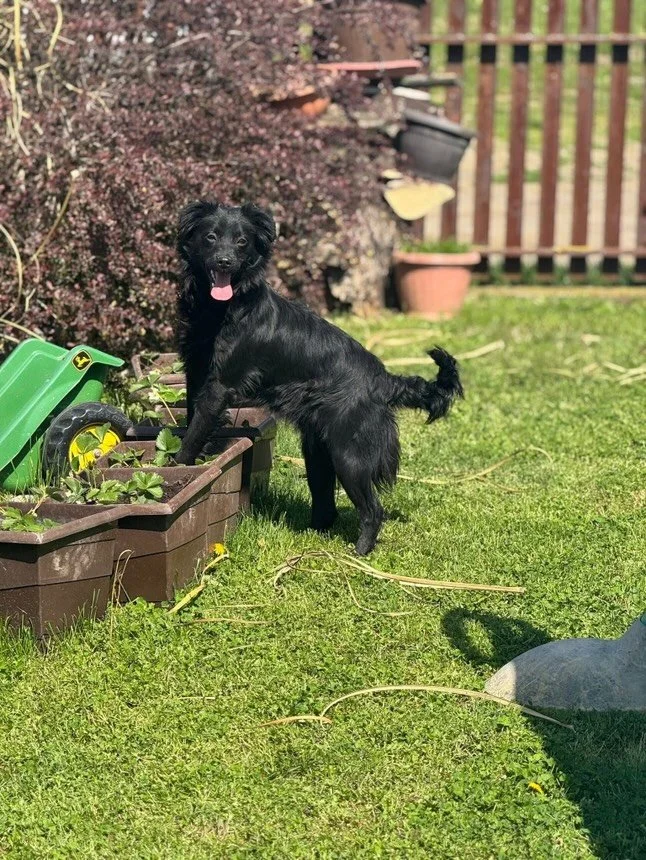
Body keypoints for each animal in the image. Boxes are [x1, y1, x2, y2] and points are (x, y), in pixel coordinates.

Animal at [175, 200, 463, 555]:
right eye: (211, 237)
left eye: (242, 241)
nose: (224, 261)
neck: (223, 308)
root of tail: (384, 380)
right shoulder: (195, 371)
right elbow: (193, 418)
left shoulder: (220, 384)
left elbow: (195, 430)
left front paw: (179, 467)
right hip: (318, 451)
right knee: (327, 501)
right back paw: (314, 533)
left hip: (350, 455)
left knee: (373, 509)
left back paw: (359, 554)